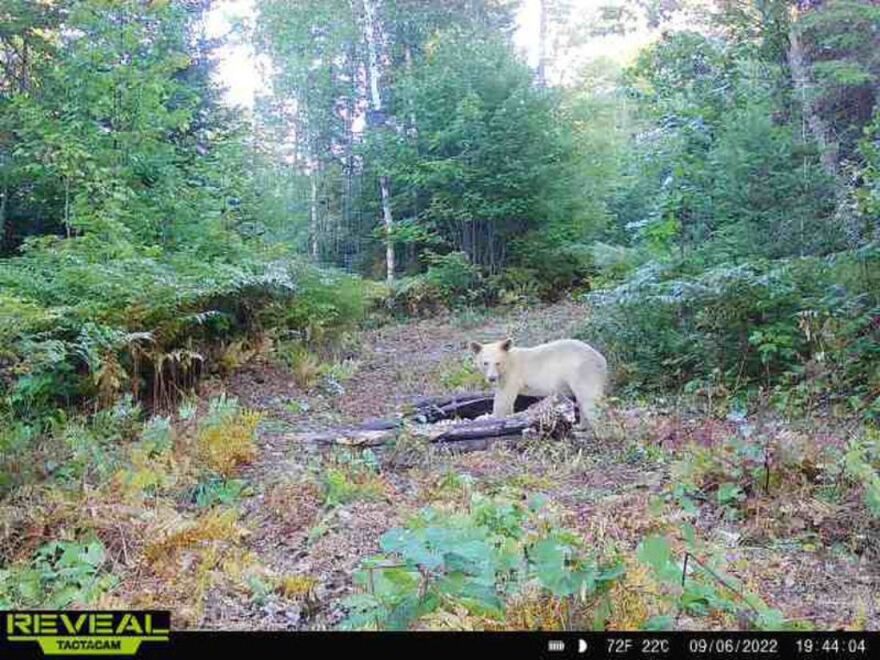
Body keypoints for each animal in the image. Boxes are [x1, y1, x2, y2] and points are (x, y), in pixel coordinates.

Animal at [470, 338, 608, 430]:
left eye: (498, 363)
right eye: (485, 363)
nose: (492, 378)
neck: (508, 362)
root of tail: (602, 359)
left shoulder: (512, 375)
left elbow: (503, 400)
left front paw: (489, 418)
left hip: (583, 371)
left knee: (589, 400)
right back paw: (580, 426)